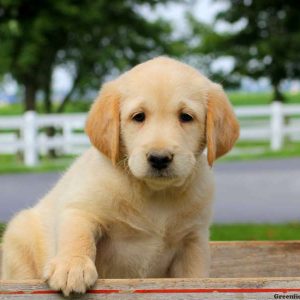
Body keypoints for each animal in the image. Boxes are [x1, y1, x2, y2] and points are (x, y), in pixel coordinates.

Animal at [0, 56, 239, 296]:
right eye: (138, 117)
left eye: (186, 117)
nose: (159, 158)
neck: (154, 193)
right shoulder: (81, 208)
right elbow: (78, 235)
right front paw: (72, 266)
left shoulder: (193, 239)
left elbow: (194, 274)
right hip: (19, 239)